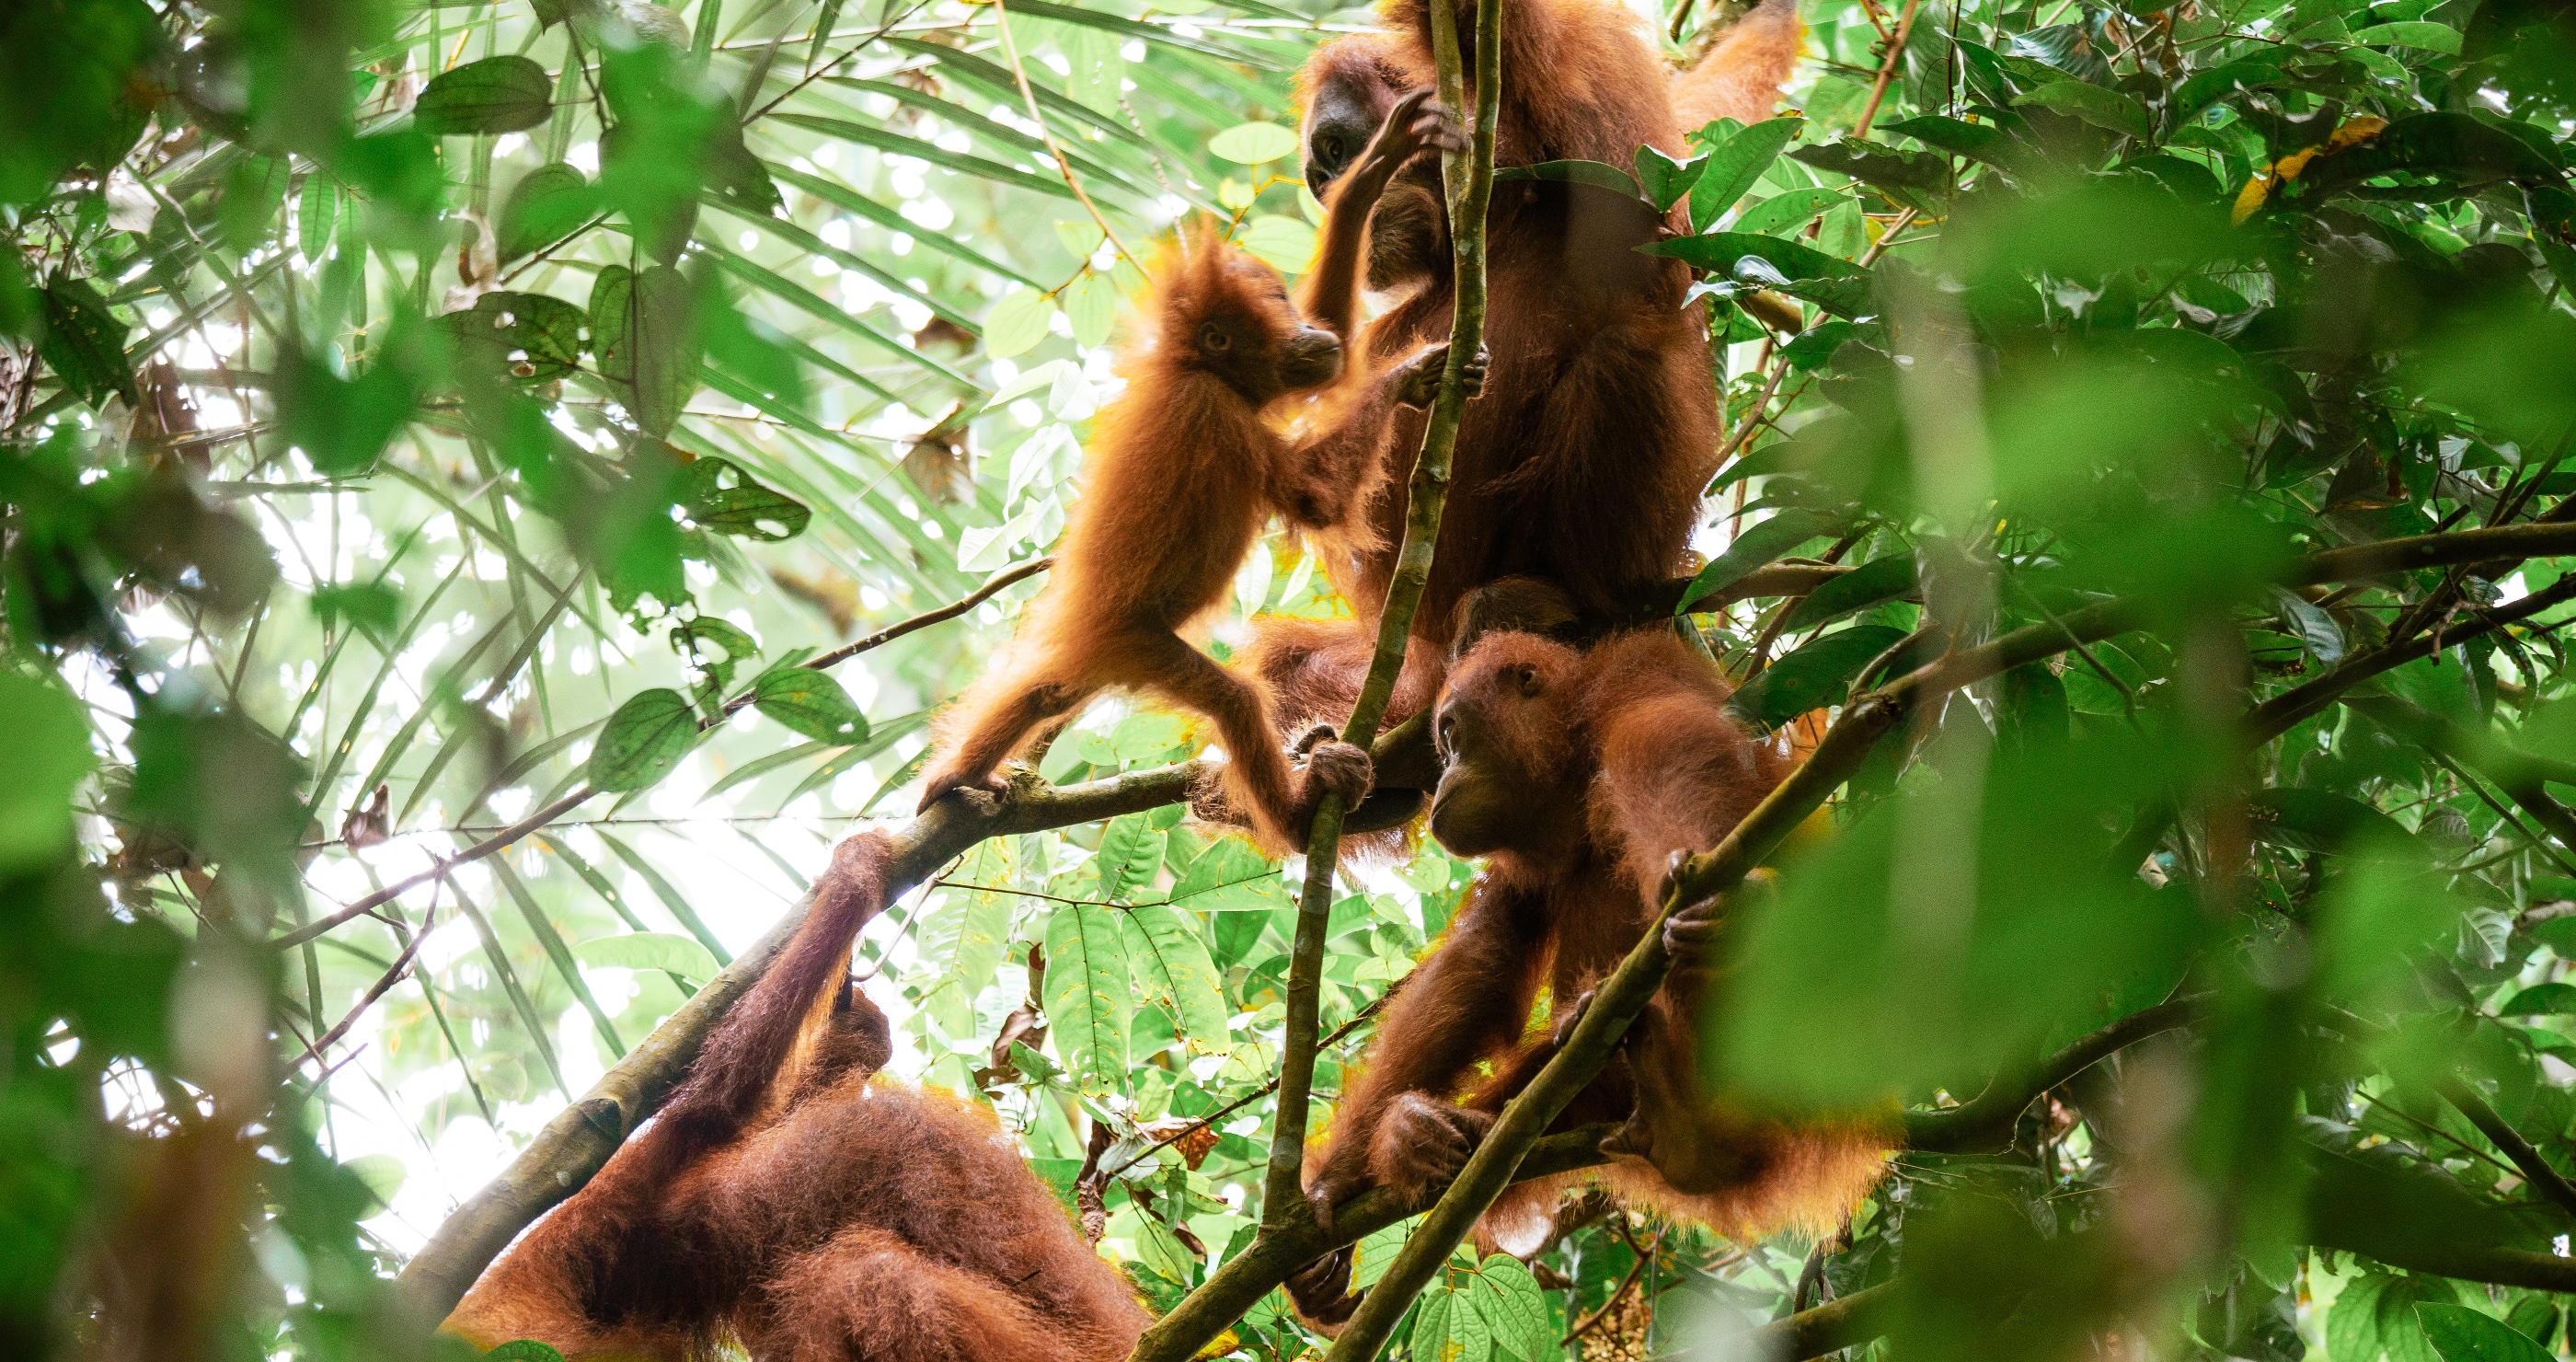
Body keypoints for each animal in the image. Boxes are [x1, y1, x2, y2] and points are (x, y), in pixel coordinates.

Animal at [913, 90, 1479, 855]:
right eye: (1275, 312)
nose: (1309, 333)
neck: (1196, 368)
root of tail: (1091, 625)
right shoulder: (1221, 419)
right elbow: (1317, 499)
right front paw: (1407, 375)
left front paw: (1366, 178)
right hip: (1145, 645)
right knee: (1234, 702)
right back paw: (1299, 815)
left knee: (1041, 693)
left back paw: (961, 771)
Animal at [1283, 629, 1889, 1324]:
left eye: (1454, 735)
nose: (1443, 779)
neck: (1570, 764)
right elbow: (1480, 968)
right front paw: (1337, 1184)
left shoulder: (1637, 681)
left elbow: (1666, 747)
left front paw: (1723, 905)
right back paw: (1432, 1134)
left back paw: (1690, 1127)